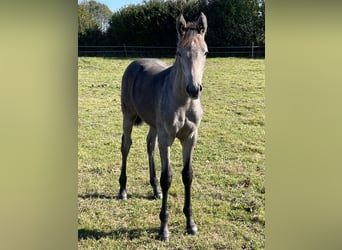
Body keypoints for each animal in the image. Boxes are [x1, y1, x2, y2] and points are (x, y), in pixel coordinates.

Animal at [117, 12, 208, 242]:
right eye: (179, 53)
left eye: (205, 52)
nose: (194, 89)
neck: (184, 102)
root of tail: (134, 63)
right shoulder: (167, 138)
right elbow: (167, 177)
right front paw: (164, 229)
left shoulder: (190, 138)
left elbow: (187, 175)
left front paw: (190, 223)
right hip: (128, 116)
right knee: (126, 146)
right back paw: (122, 190)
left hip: (154, 125)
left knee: (149, 145)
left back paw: (155, 190)